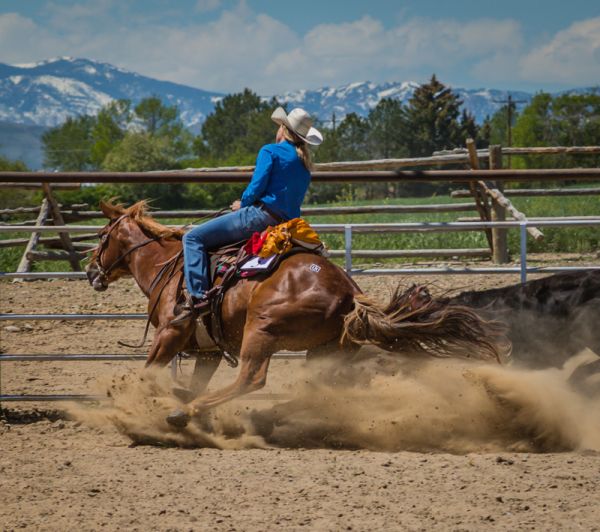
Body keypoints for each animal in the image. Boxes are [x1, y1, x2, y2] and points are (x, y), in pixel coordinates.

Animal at [86, 201, 508, 428]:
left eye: (101, 237)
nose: (91, 272)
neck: (168, 265)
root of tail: (349, 294)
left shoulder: (170, 334)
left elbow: (148, 372)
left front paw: (133, 406)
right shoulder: (207, 350)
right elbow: (195, 381)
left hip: (261, 329)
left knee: (252, 379)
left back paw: (186, 413)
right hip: (326, 350)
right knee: (315, 389)